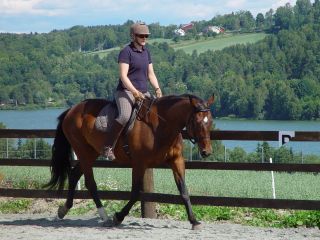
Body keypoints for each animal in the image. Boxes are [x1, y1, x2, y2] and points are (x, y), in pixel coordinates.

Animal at [44, 93, 215, 230]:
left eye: (210, 122)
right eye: (197, 122)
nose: (206, 152)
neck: (160, 126)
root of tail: (72, 110)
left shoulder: (176, 161)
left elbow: (184, 191)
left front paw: (194, 221)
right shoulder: (140, 163)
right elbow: (135, 193)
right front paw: (118, 217)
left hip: (90, 153)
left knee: (74, 175)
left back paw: (64, 210)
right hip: (83, 152)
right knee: (90, 182)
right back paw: (105, 216)